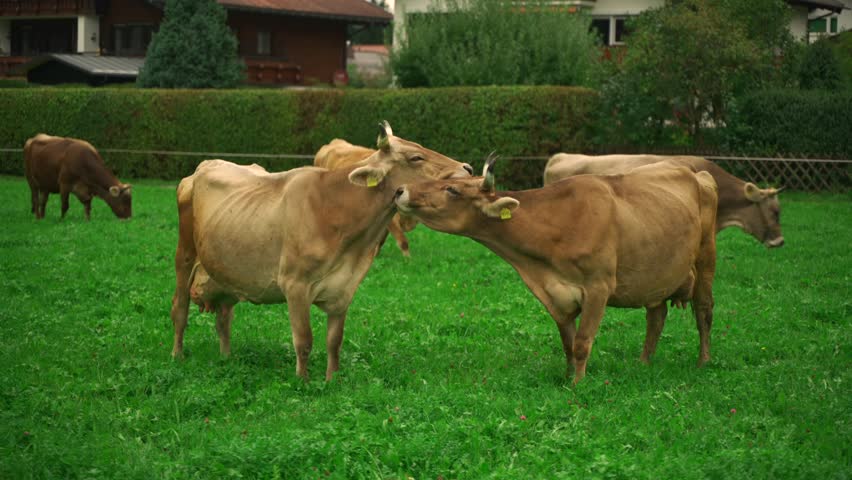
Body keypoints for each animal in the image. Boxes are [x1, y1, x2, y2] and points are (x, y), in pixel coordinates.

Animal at [394, 158, 718, 384]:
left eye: (451, 189)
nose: (400, 189)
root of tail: (695, 172)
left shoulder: (599, 287)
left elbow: (582, 343)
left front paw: (578, 384)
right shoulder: (555, 295)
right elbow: (568, 343)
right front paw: (566, 377)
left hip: (706, 255)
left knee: (703, 310)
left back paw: (703, 361)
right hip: (656, 272)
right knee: (656, 316)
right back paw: (644, 362)